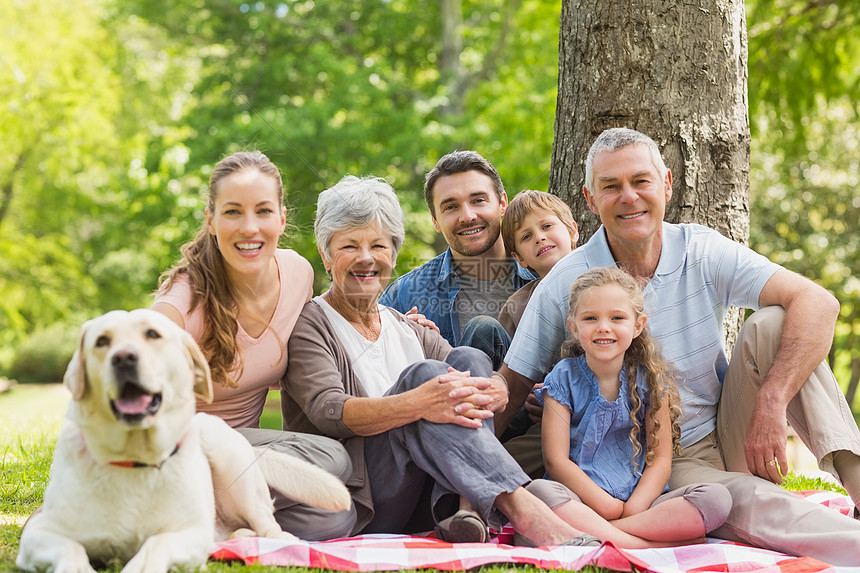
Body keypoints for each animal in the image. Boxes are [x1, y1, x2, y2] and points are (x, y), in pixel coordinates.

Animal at [15, 308, 350, 572]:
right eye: (102, 341)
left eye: (152, 334)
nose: (123, 358)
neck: (134, 459)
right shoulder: (38, 534)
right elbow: (70, 549)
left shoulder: (188, 533)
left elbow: (155, 545)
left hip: (227, 455)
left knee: (267, 524)